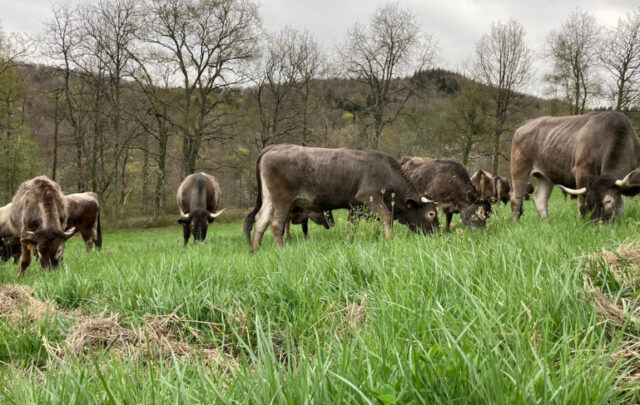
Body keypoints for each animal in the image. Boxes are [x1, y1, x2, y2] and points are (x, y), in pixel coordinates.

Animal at [243, 144, 439, 251]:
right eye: (431, 214)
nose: (438, 235)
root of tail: (274, 147)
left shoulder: (354, 205)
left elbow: (351, 227)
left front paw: (349, 242)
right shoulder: (370, 196)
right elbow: (386, 217)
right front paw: (389, 240)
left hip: (269, 199)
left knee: (261, 220)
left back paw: (255, 249)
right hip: (282, 200)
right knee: (276, 224)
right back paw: (280, 249)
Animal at [510, 111, 640, 222]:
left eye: (608, 201)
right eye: (590, 202)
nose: (597, 223)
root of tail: (529, 122)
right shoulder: (582, 171)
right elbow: (582, 205)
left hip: (545, 175)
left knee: (540, 200)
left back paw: (547, 223)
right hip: (519, 168)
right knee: (516, 198)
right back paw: (516, 223)